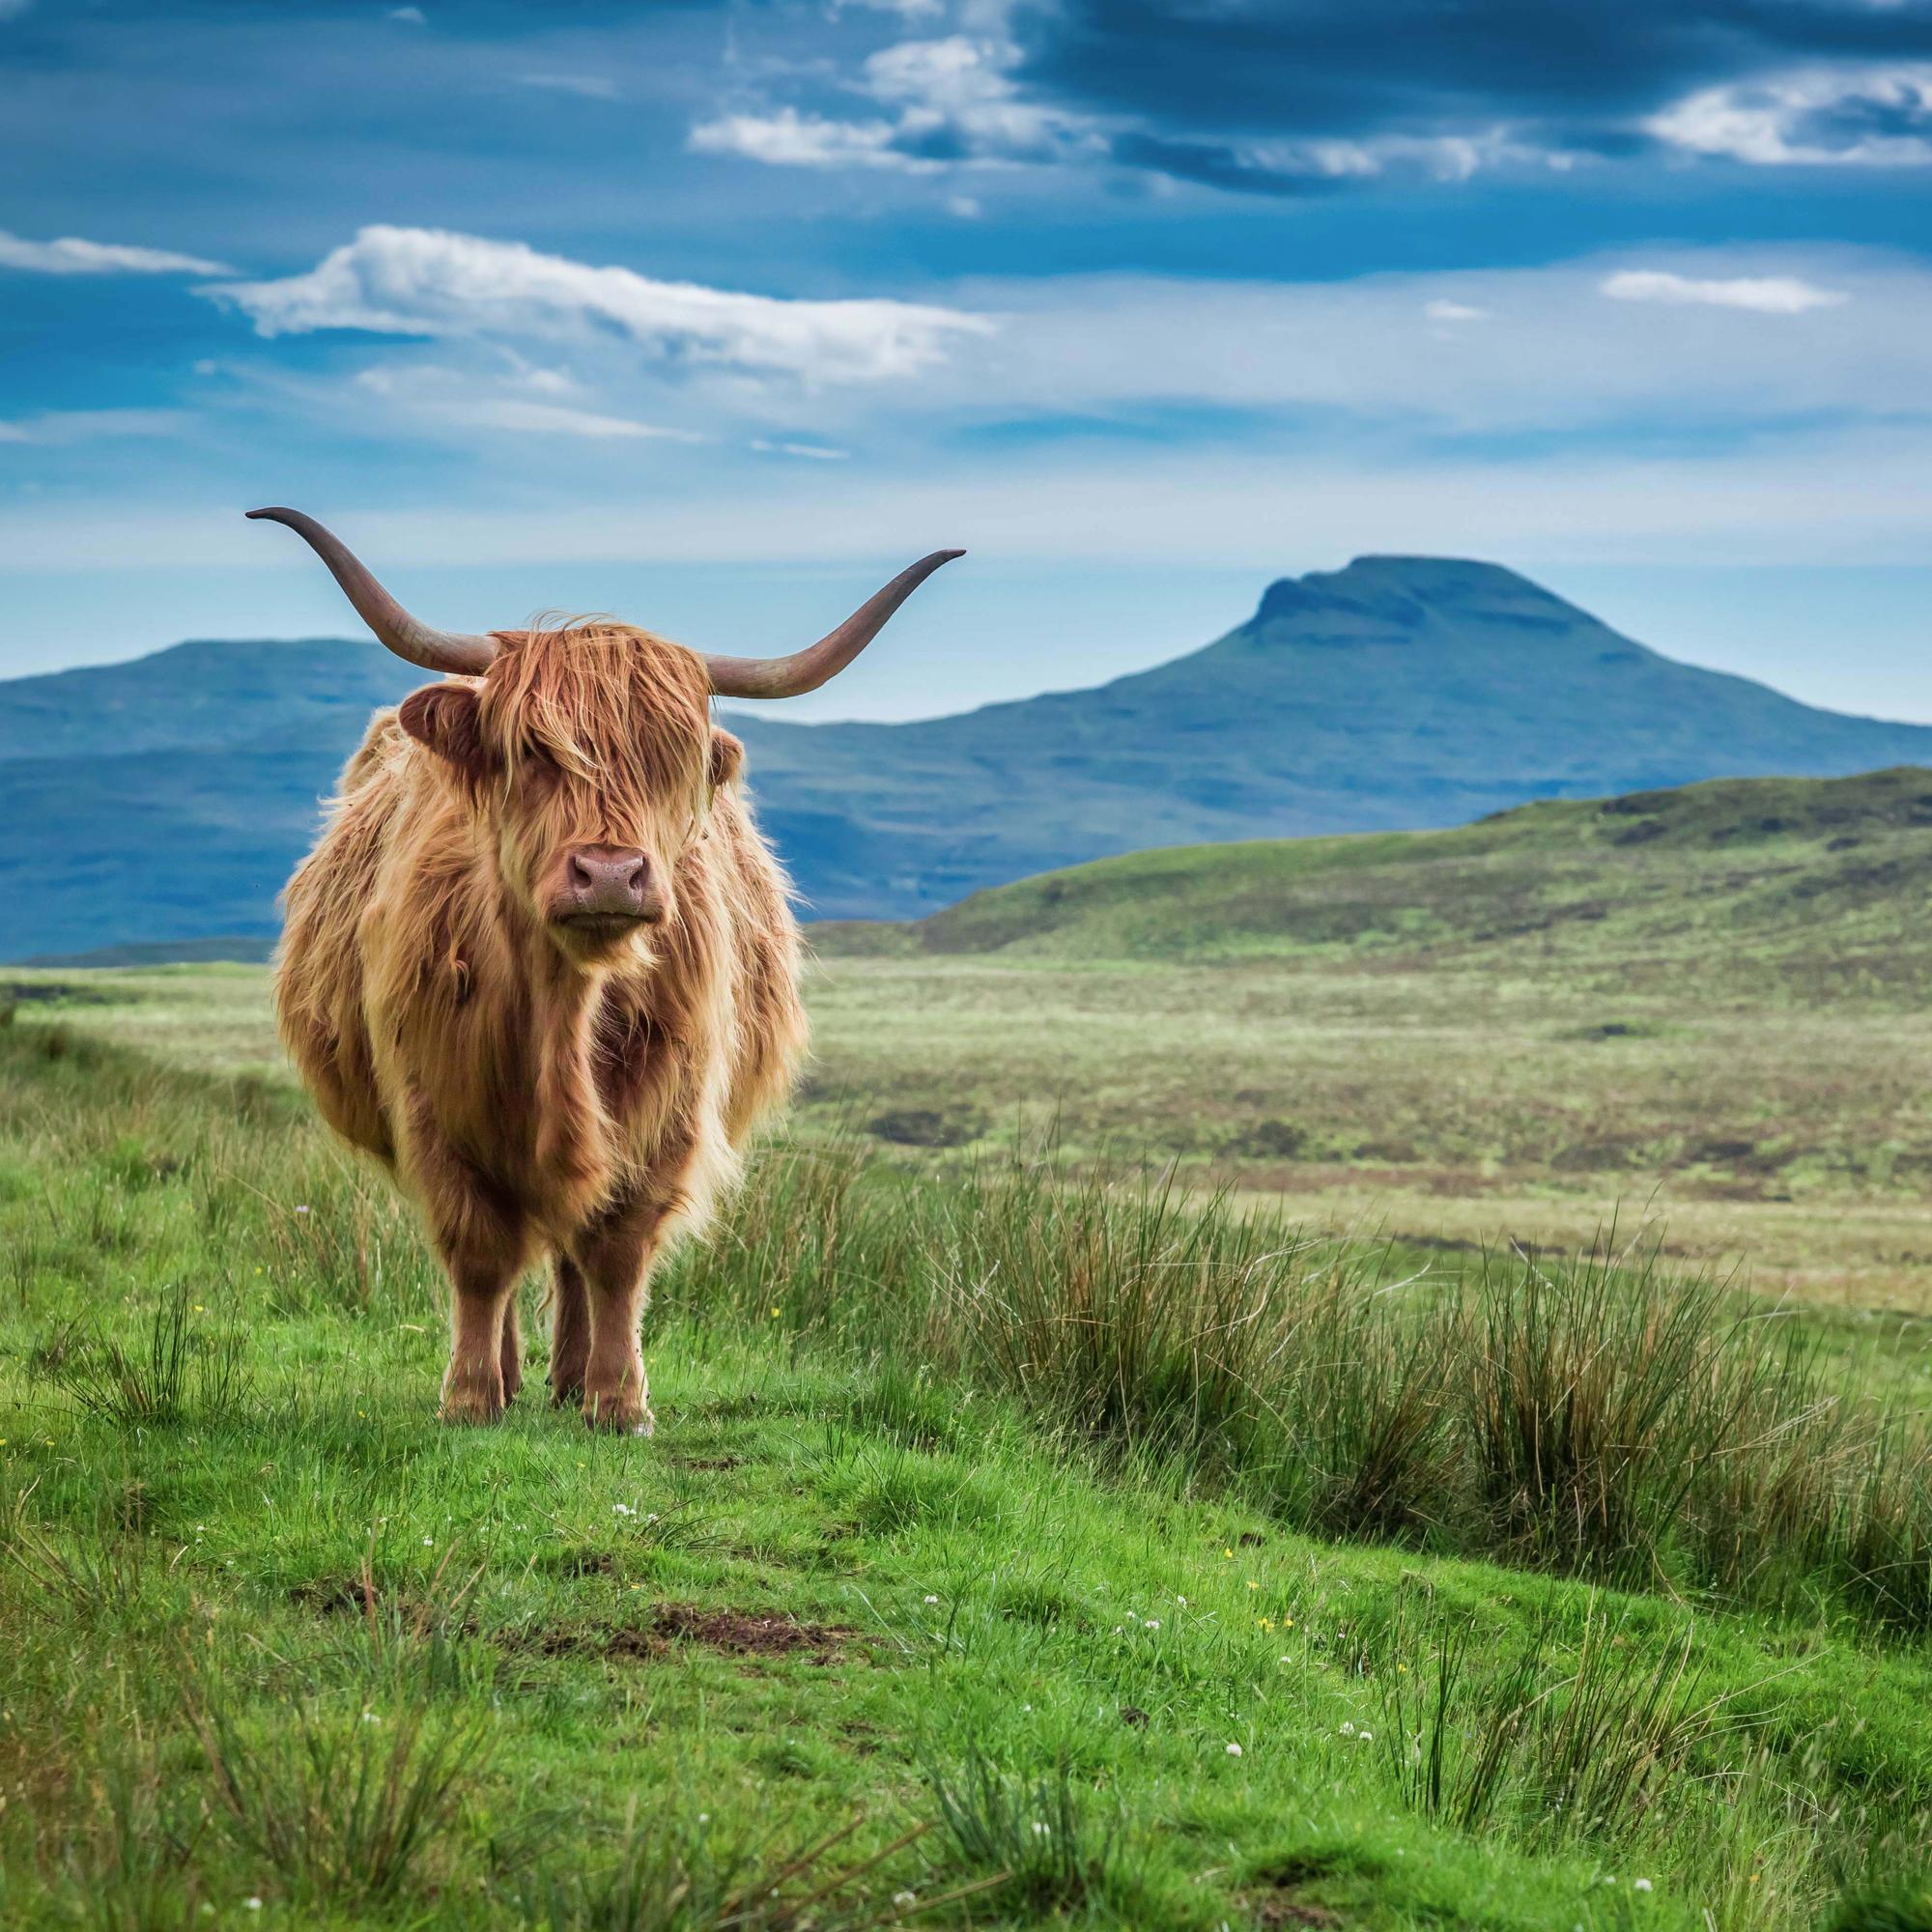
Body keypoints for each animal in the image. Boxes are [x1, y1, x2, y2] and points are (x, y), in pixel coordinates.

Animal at [253, 506, 962, 1430]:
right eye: (532, 751)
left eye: (673, 758)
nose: (612, 874)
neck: (565, 1008)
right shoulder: (432, 1104)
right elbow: (479, 1253)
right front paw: (471, 1397)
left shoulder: (669, 1108)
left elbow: (618, 1251)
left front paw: (620, 1402)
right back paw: (516, 1374)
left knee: (573, 1249)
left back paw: (568, 1378)